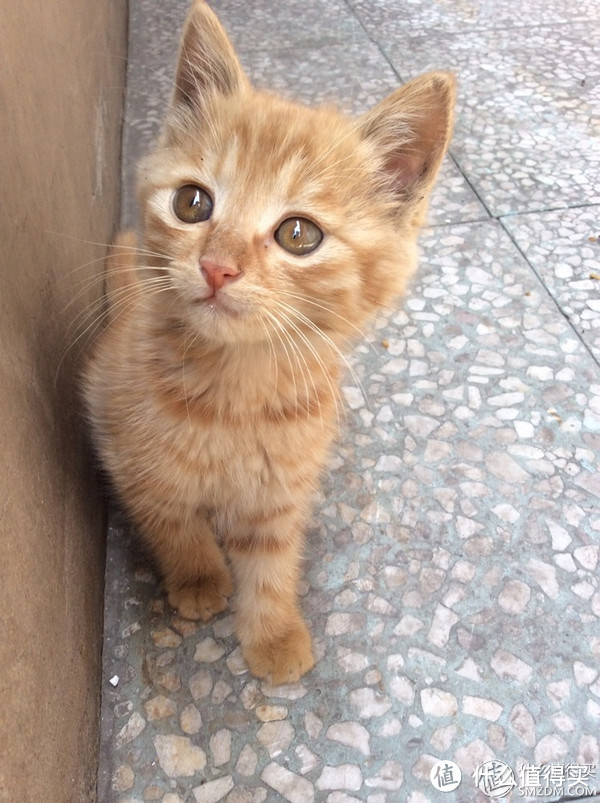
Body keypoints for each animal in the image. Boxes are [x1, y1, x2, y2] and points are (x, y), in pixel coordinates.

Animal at [82, 0, 452, 684]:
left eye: (298, 235)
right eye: (191, 202)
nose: (217, 267)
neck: (237, 390)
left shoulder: (284, 488)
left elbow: (274, 557)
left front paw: (275, 633)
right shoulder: (126, 452)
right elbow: (172, 521)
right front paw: (199, 578)